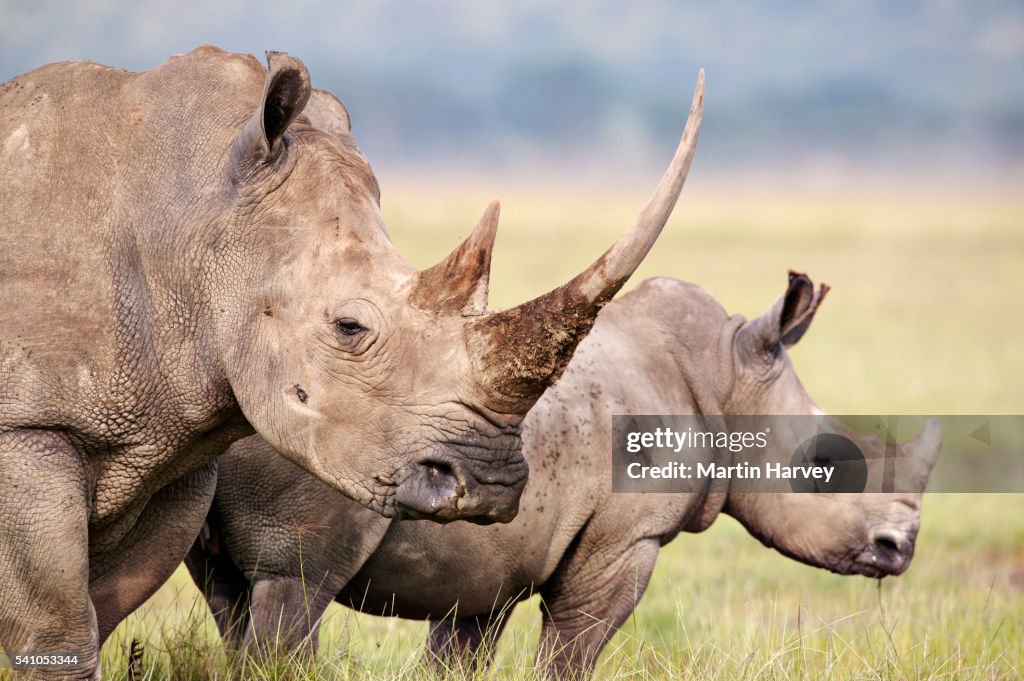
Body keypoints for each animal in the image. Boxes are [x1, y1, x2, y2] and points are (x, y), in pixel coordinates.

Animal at [0, 46, 704, 675]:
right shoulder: (28, 427)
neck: (194, 221)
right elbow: (59, 623)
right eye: (349, 327)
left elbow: (101, 608)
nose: (491, 486)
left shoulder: (170, 444)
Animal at [188, 270, 937, 675]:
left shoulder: (487, 566)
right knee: (295, 585)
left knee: (231, 595)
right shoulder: (625, 539)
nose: (899, 550)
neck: (726, 379)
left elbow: (458, 653)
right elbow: (573, 650)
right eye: (828, 464)